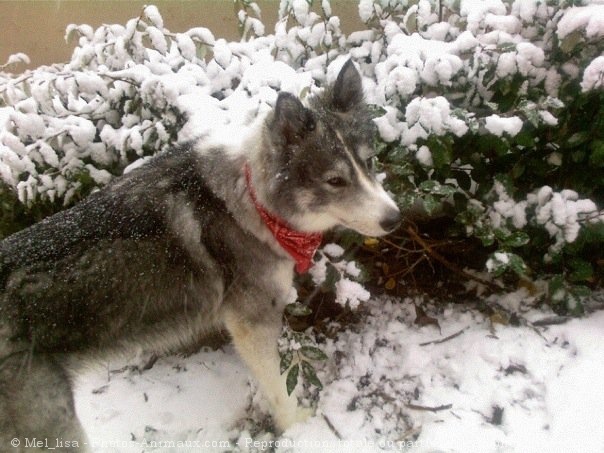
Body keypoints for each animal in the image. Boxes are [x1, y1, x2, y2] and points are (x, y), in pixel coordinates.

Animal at [0, 61, 404, 448]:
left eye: (368, 163)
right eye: (335, 181)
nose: (394, 219)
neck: (252, 198)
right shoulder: (252, 322)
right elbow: (279, 385)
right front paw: (298, 427)